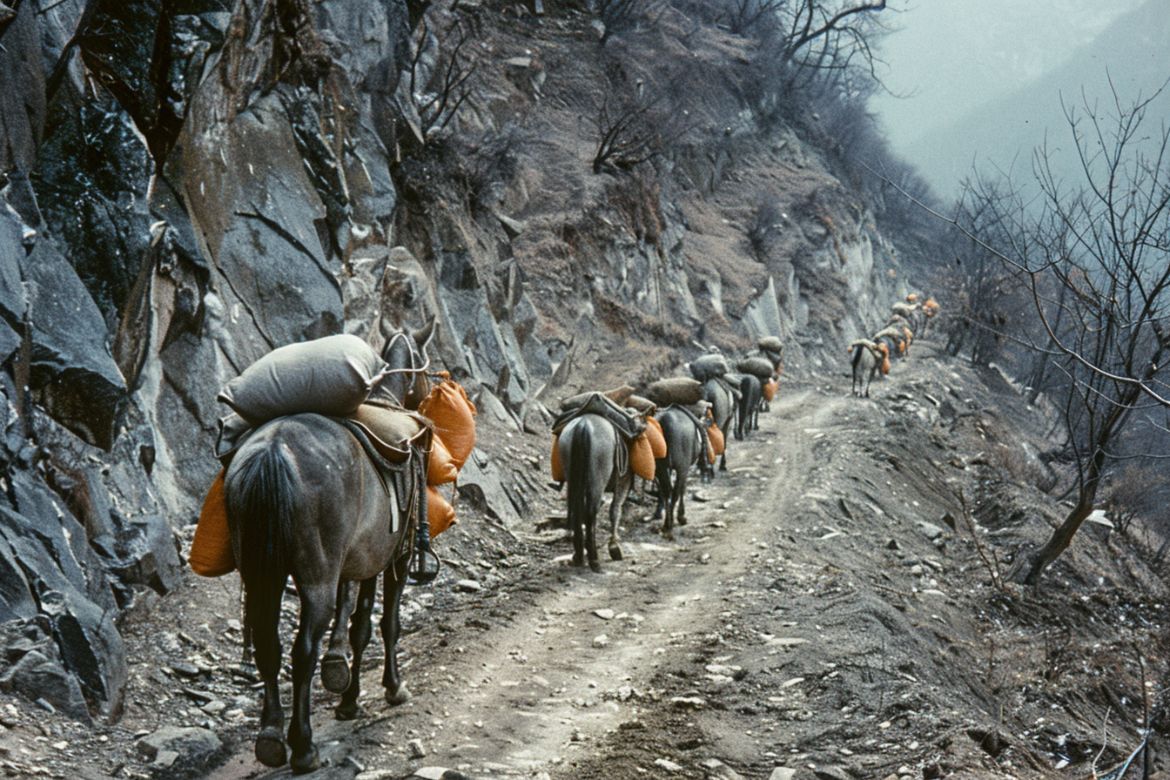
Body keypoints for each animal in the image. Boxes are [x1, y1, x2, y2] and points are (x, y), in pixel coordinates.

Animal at [224, 320, 435, 771]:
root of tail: (274, 450)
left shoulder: (357, 562)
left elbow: (355, 626)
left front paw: (346, 693)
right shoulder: (393, 558)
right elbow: (380, 625)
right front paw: (390, 688)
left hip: (263, 576)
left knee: (269, 647)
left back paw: (271, 740)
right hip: (315, 577)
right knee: (303, 650)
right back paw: (303, 746)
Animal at [554, 413, 631, 573]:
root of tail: (583, 425)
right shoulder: (624, 481)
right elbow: (615, 510)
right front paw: (614, 547)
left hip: (573, 475)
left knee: (578, 510)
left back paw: (578, 556)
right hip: (597, 480)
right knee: (591, 512)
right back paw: (594, 560)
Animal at [650, 406, 702, 540]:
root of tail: (667, 422)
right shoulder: (684, 466)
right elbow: (682, 488)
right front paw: (681, 516)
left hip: (661, 466)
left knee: (667, 490)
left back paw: (667, 522)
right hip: (681, 465)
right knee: (676, 490)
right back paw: (672, 522)